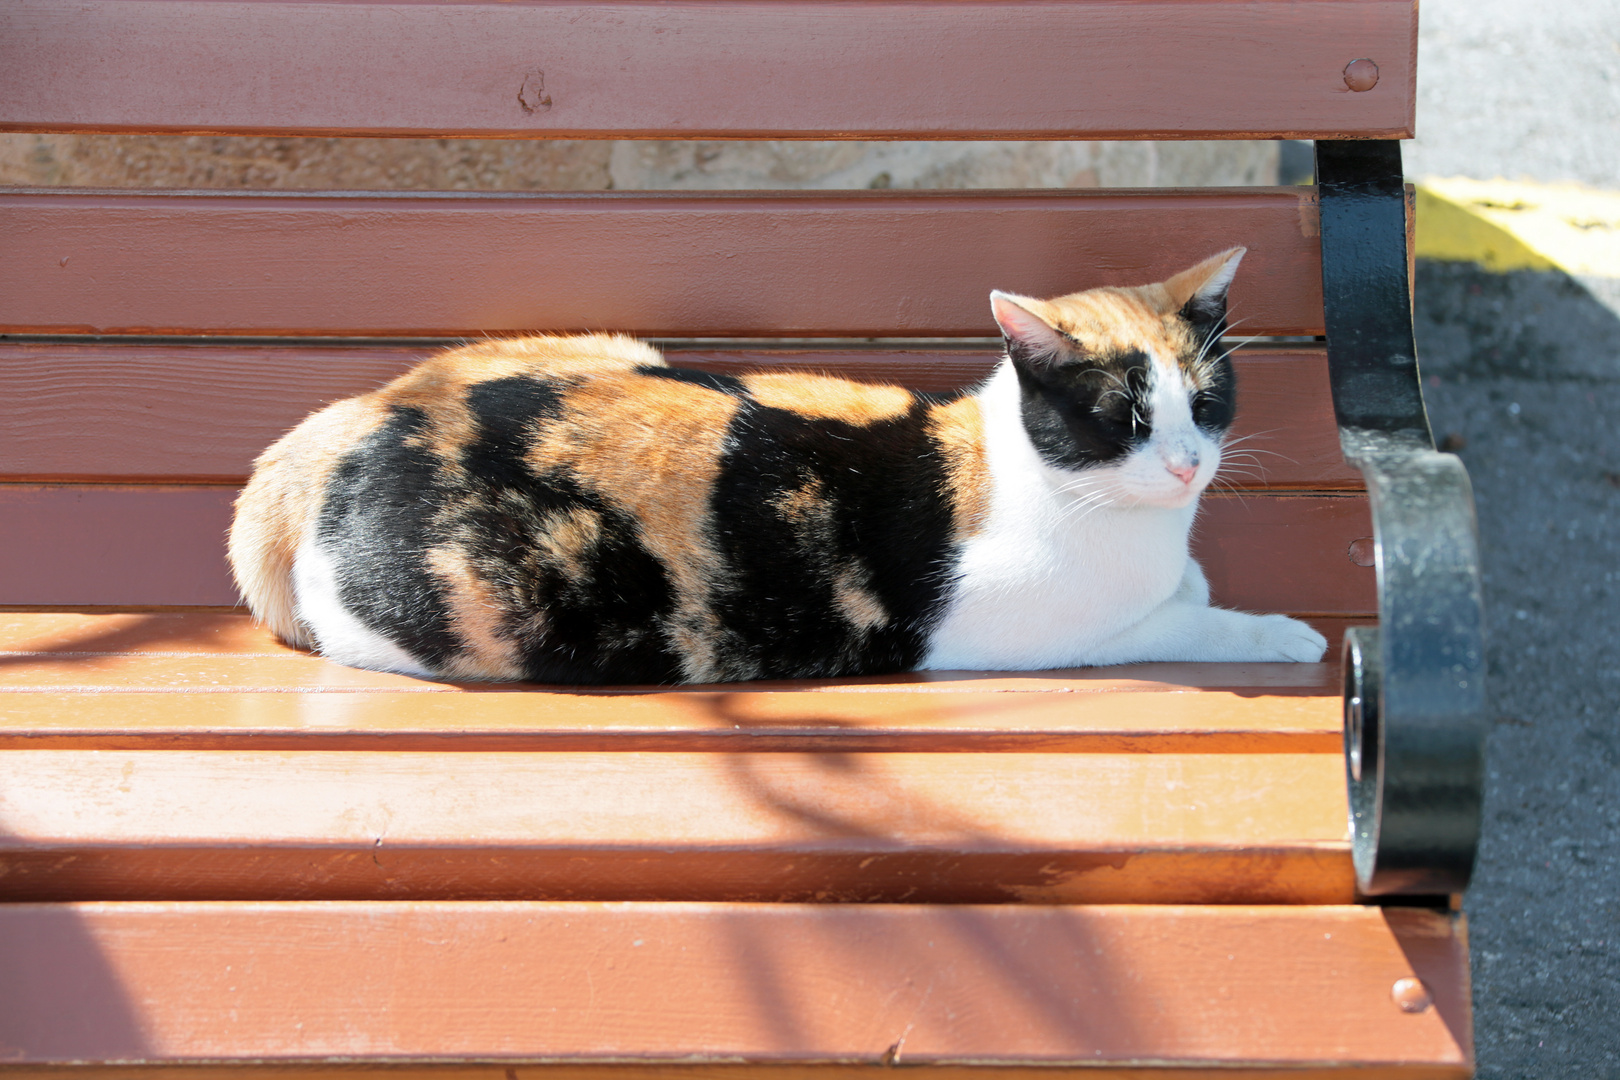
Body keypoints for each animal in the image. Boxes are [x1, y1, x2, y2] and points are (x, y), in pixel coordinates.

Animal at [228, 247, 1328, 680]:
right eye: (1120, 417)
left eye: (1205, 403)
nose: (1186, 465)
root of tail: (344, 426)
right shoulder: (1021, 629)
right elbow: (1189, 622)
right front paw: (1286, 634)